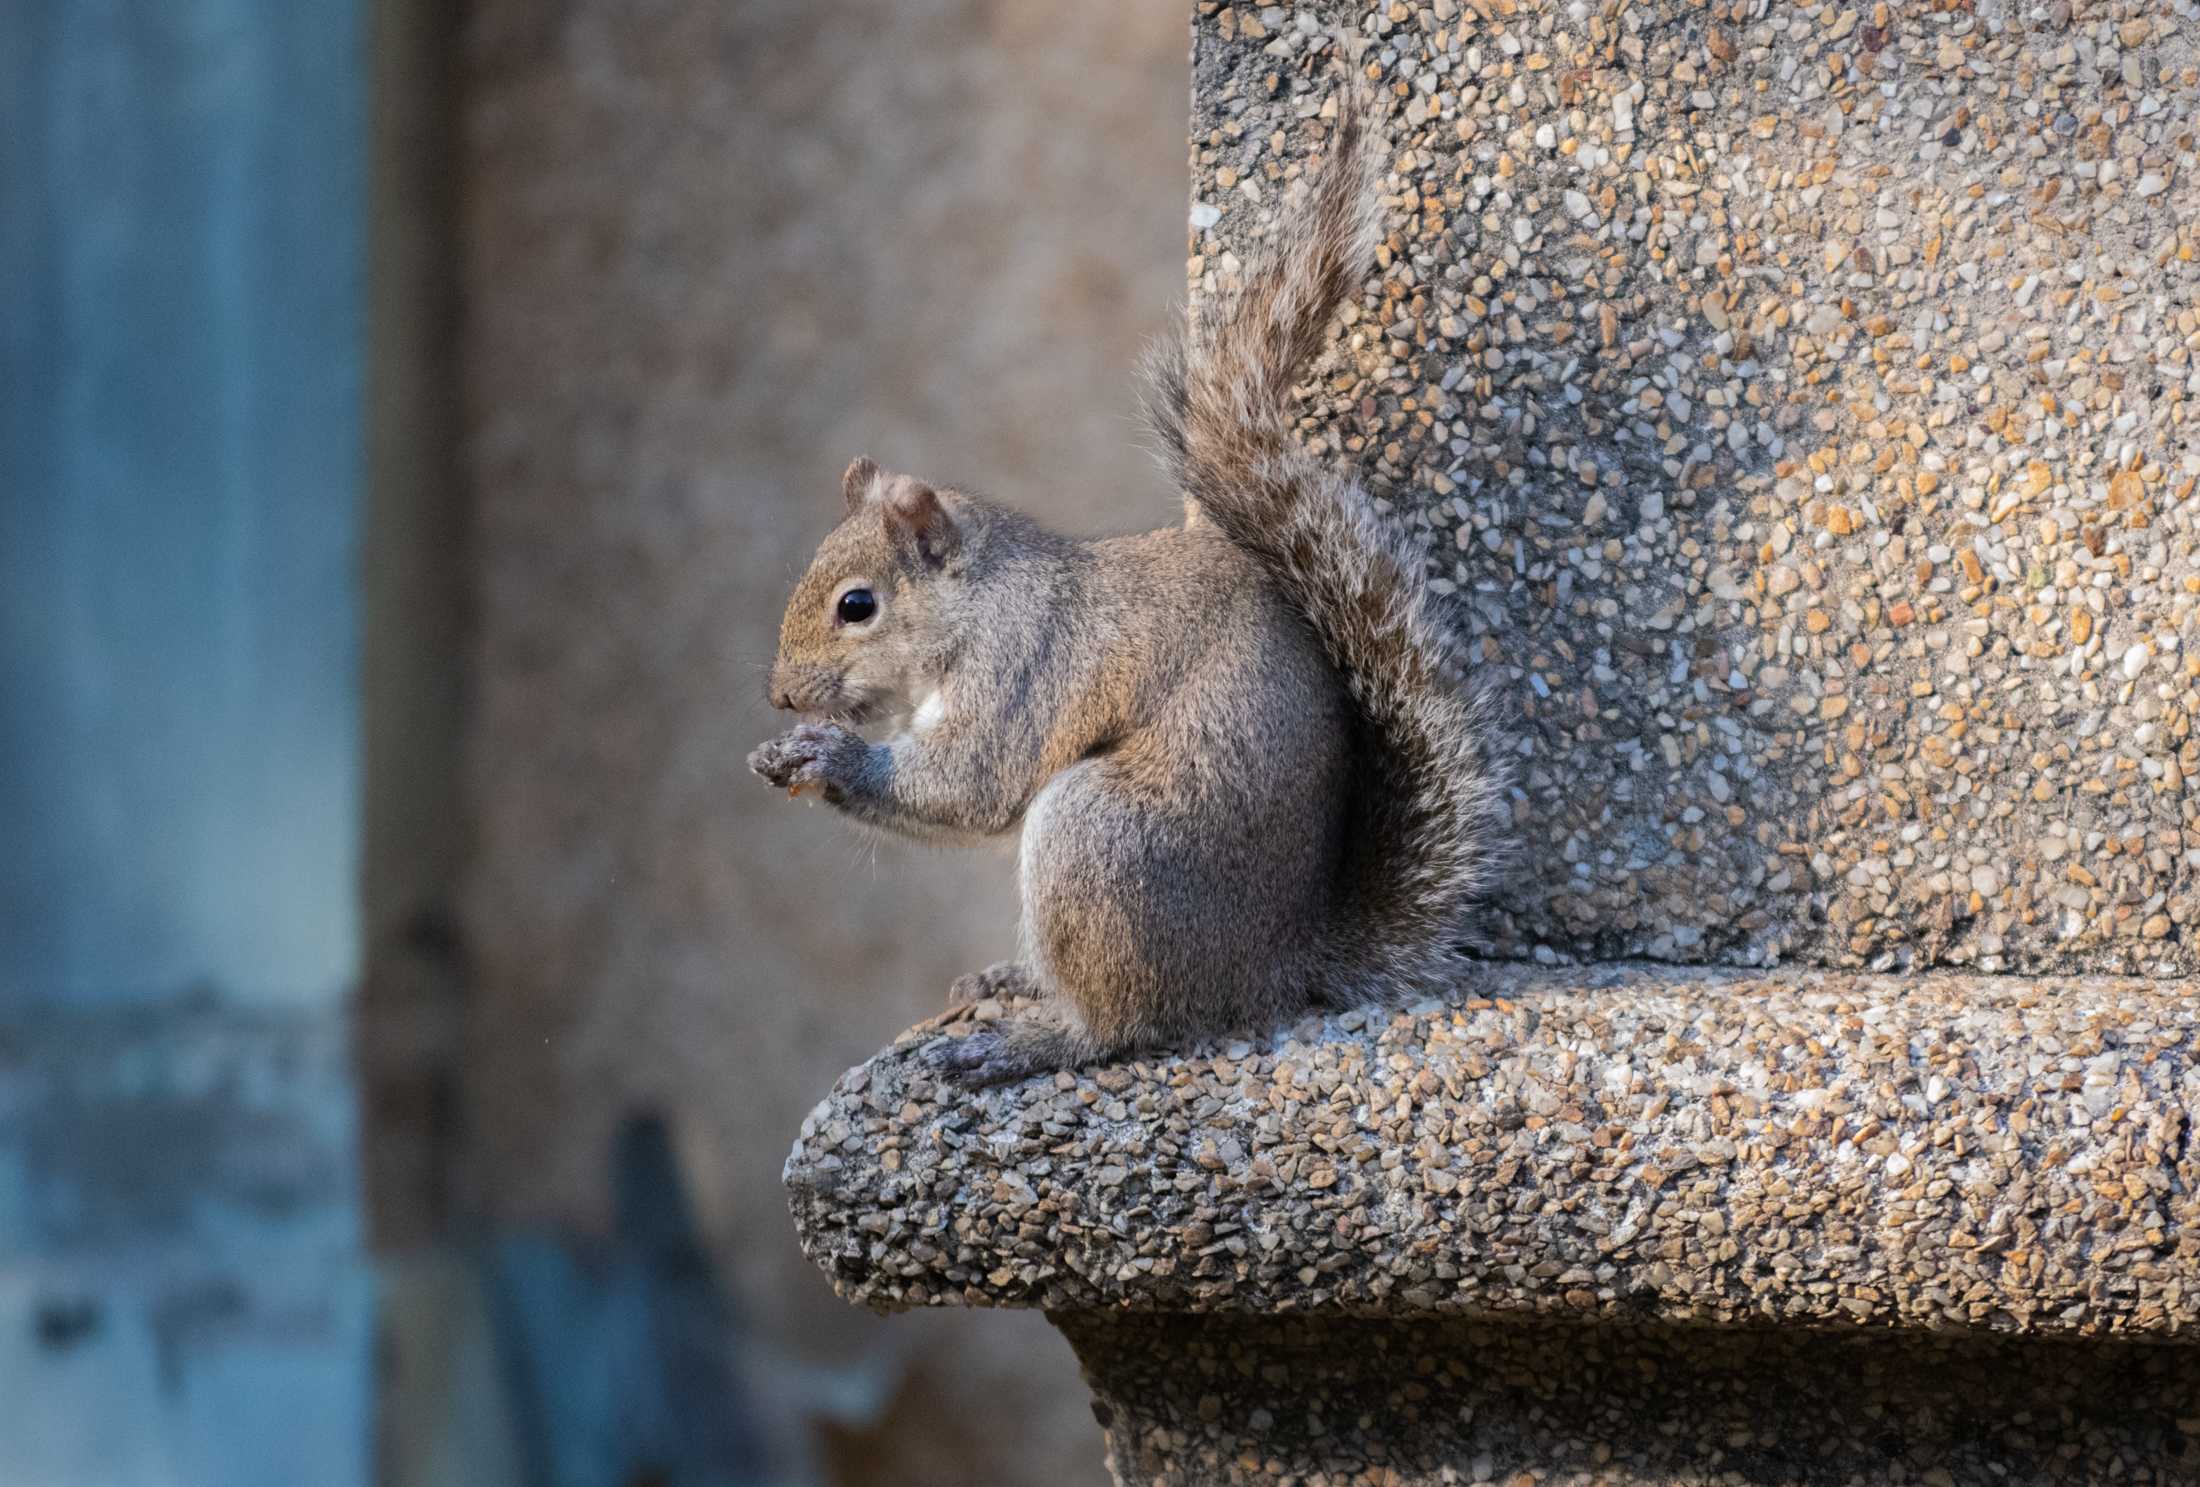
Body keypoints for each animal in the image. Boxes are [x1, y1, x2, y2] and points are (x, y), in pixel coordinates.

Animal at [748, 95, 1504, 1091]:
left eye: (857, 605)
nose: (781, 694)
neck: (977, 606)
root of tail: (1271, 965)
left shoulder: (1024, 669)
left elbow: (970, 785)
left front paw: (827, 754)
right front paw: (783, 750)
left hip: (1098, 842)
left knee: (1119, 1021)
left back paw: (1027, 1040)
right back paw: (1012, 981)